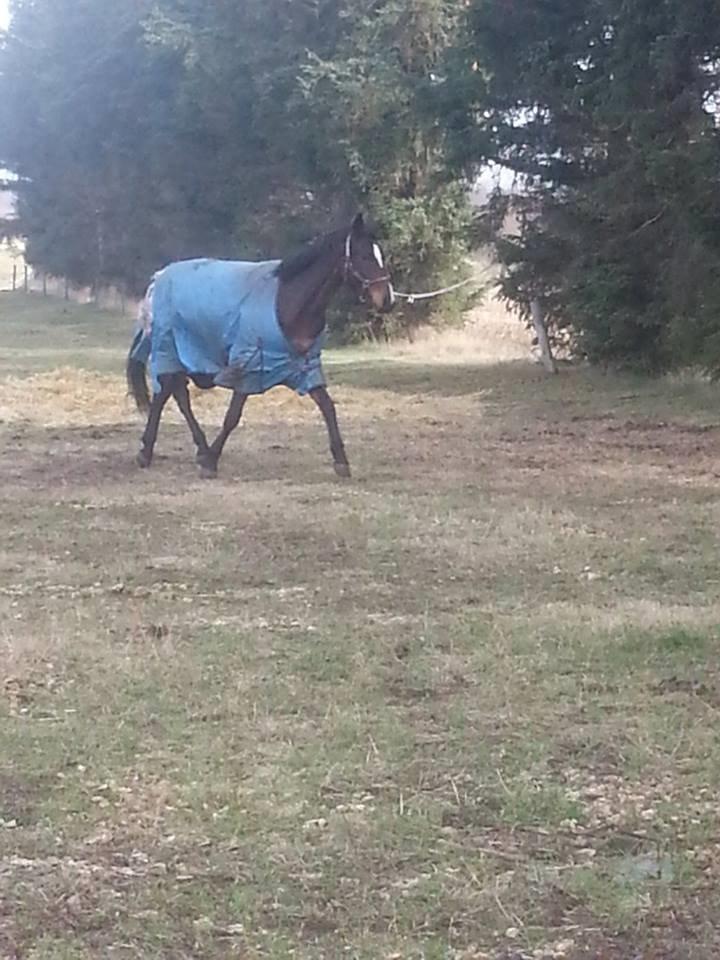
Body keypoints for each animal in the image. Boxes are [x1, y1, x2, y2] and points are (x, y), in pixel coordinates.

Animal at [124, 213, 394, 476]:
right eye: (364, 255)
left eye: (379, 255)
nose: (388, 300)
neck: (288, 302)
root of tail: (158, 279)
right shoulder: (249, 365)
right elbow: (232, 416)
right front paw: (211, 461)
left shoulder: (305, 367)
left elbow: (328, 407)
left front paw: (341, 461)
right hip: (169, 350)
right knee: (169, 394)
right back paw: (155, 451)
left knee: (172, 394)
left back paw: (185, 448)